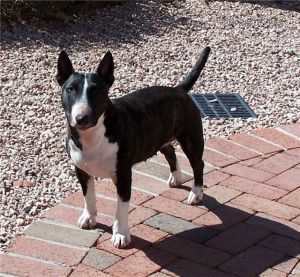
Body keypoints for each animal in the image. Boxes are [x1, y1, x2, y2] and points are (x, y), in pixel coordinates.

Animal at [56, 46, 211, 247]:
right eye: (70, 89)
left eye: (96, 91)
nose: (81, 118)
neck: (93, 135)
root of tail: (179, 90)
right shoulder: (81, 169)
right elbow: (88, 195)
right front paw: (89, 218)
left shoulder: (123, 174)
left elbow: (121, 207)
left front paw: (121, 234)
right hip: (159, 136)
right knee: (170, 151)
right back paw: (176, 177)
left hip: (190, 137)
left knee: (198, 163)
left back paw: (196, 193)